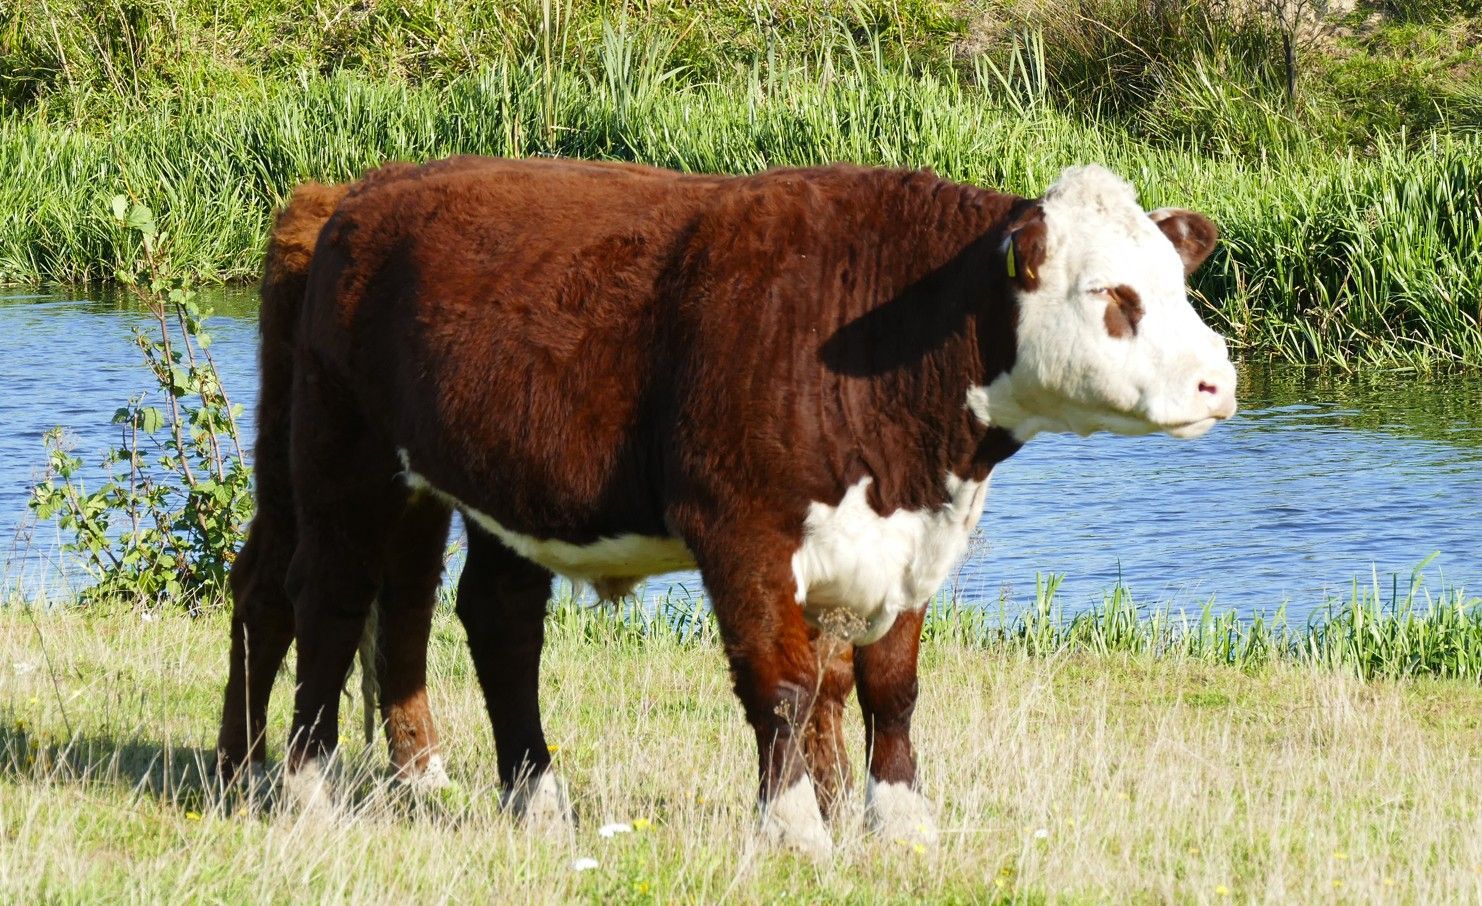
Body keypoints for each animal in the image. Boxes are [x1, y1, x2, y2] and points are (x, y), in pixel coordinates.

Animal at [217, 156, 1235, 858]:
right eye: (1111, 293)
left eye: (1178, 283)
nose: (1216, 381)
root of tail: (361, 194)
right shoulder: (742, 532)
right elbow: (780, 685)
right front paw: (795, 829)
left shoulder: (907, 548)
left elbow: (888, 688)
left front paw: (901, 824)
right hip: (340, 460)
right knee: (320, 599)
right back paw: (292, 783)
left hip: (499, 483)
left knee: (489, 620)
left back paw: (534, 799)